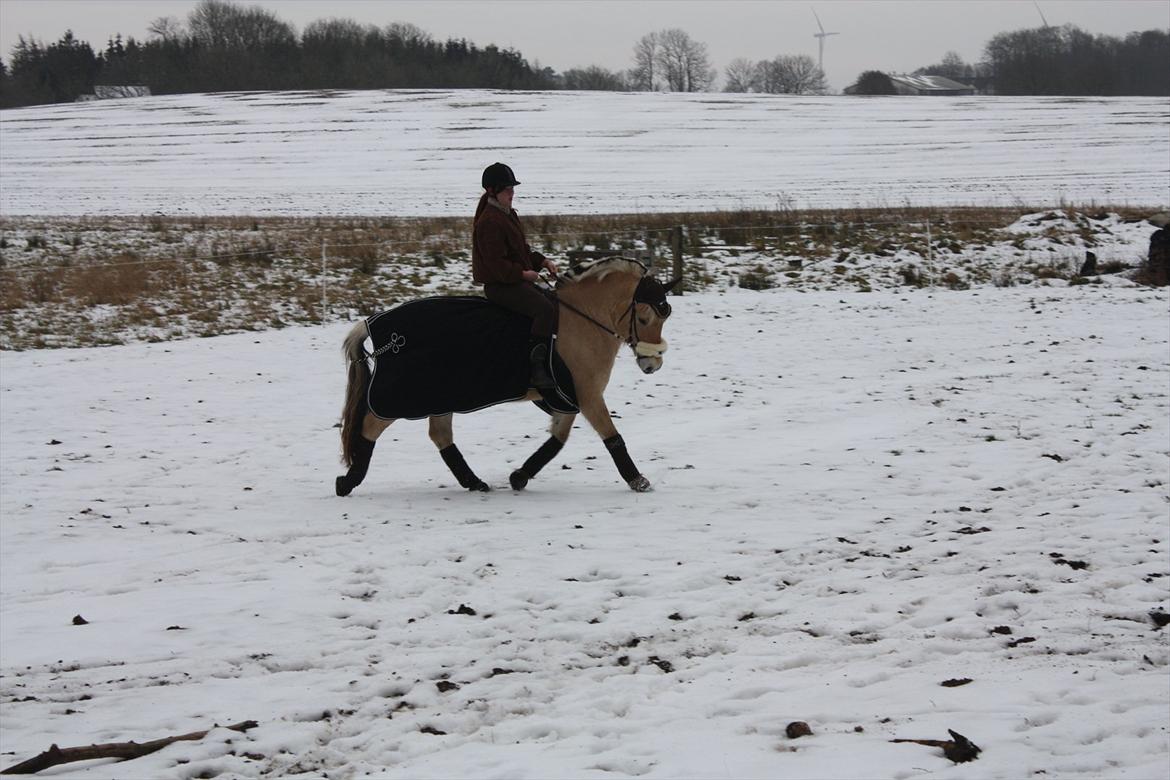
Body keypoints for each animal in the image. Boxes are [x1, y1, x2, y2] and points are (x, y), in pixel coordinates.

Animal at [334, 259, 678, 498]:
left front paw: (520, 476)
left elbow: (557, 439)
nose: (652, 364)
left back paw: (475, 482)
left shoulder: (568, 397)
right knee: (370, 428)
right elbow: (612, 437)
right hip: (402, 398)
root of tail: (375, 325)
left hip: (441, 396)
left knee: (441, 436)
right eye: (644, 318)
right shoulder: (588, 395)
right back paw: (348, 482)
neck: (580, 320)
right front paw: (638, 480)